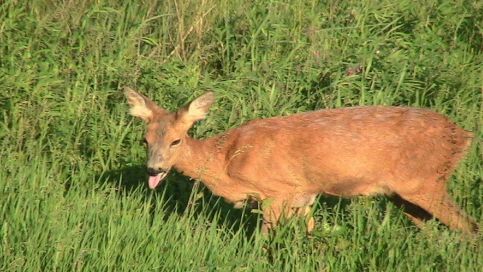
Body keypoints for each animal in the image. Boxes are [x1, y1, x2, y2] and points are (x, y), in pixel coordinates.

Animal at [123, 87, 478, 234]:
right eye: (145, 140)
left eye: (176, 140)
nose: (154, 169)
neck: (225, 160)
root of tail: (464, 136)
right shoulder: (304, 194)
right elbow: (312, 234)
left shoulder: (275, 192)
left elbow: (265, 239)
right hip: (405, 196)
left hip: (425, 183)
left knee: (471, 226)